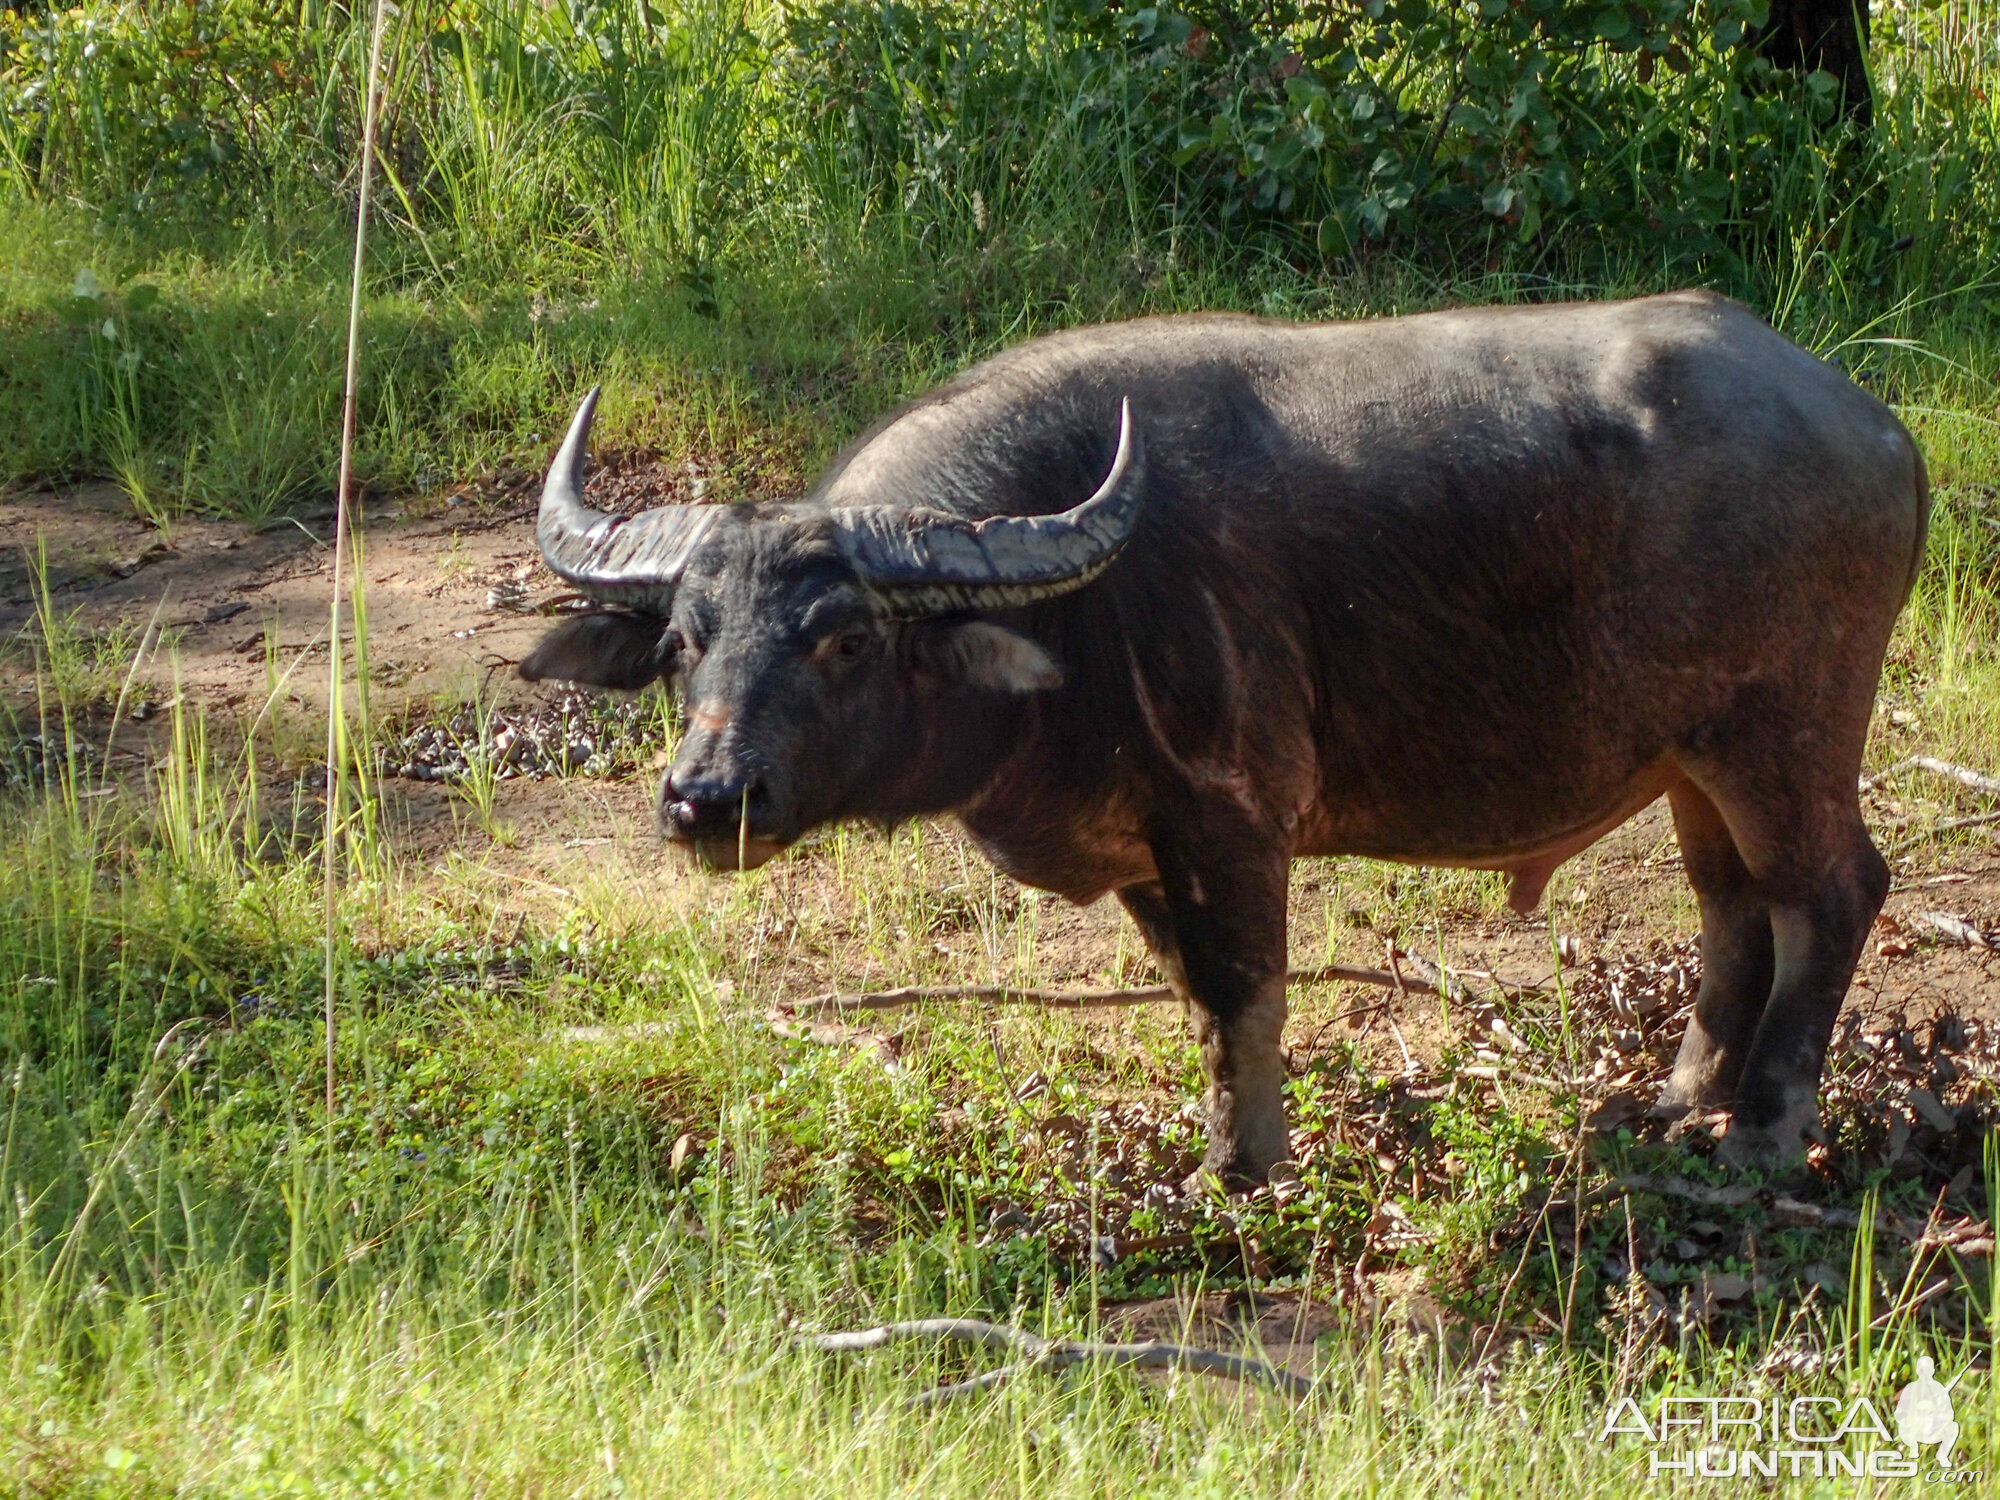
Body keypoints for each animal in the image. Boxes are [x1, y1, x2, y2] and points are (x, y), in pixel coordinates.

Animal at [524, 294, 1928, 1184]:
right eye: (686, 639)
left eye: (845, 639)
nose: (706, 800)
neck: (1077, 614)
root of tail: (1874, 427)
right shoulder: (1149, 855)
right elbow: (1201, 1003)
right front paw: (1218, 1149)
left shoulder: (1234, 818)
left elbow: (1249, 990)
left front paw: (1248, 1171)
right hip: (1694, 757)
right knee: (1730, 903)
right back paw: (1683, 1096)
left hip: (1781, 736)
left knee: (1830, 890)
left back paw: (1762, 1132)